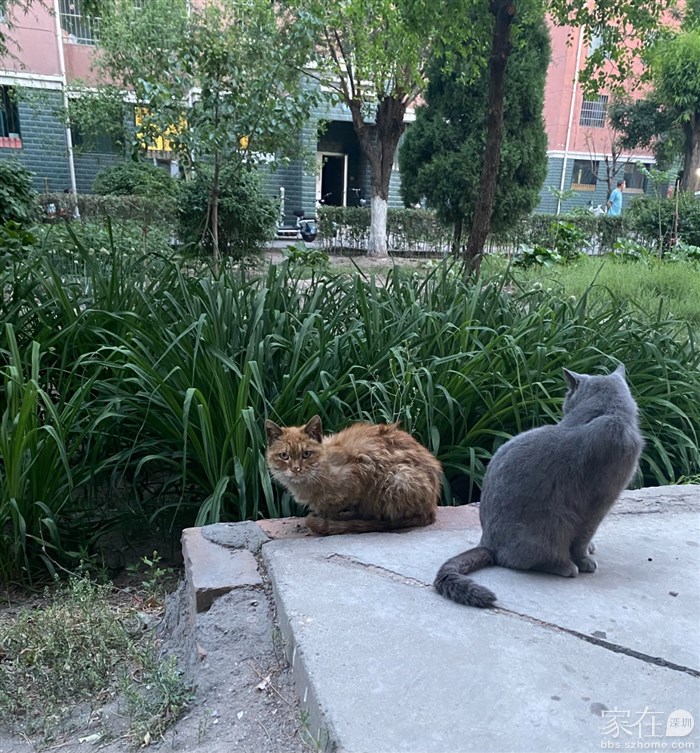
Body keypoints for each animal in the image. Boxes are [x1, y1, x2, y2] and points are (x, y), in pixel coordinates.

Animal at [265, 415, 442, 534]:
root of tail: (432, 508)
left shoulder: (356, 476)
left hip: (398, 478)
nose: (296, 469)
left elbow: (331, 511)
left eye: (306, 454)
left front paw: (325, 522)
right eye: (284, 456)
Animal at [435, 364, 643, 608]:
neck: (603, 413)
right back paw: (567, 566)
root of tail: (487, 543)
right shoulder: (598, 504)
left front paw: (591, 549)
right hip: (555, 524)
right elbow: (582, 539)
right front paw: (585, 560)